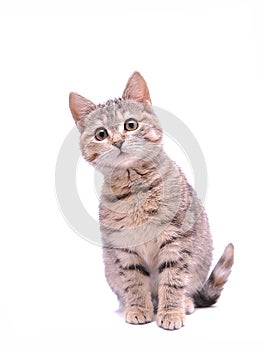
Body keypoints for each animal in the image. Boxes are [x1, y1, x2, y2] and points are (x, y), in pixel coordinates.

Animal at [69, 72, 234, 330]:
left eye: (130, 125)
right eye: (101, 134)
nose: (117, 141)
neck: (135, 187)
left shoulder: (176, 240)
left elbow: (173, 278)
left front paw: (172, 311)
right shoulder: (124, 247)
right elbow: (134, 281)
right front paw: (138, 307)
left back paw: (184, 303)